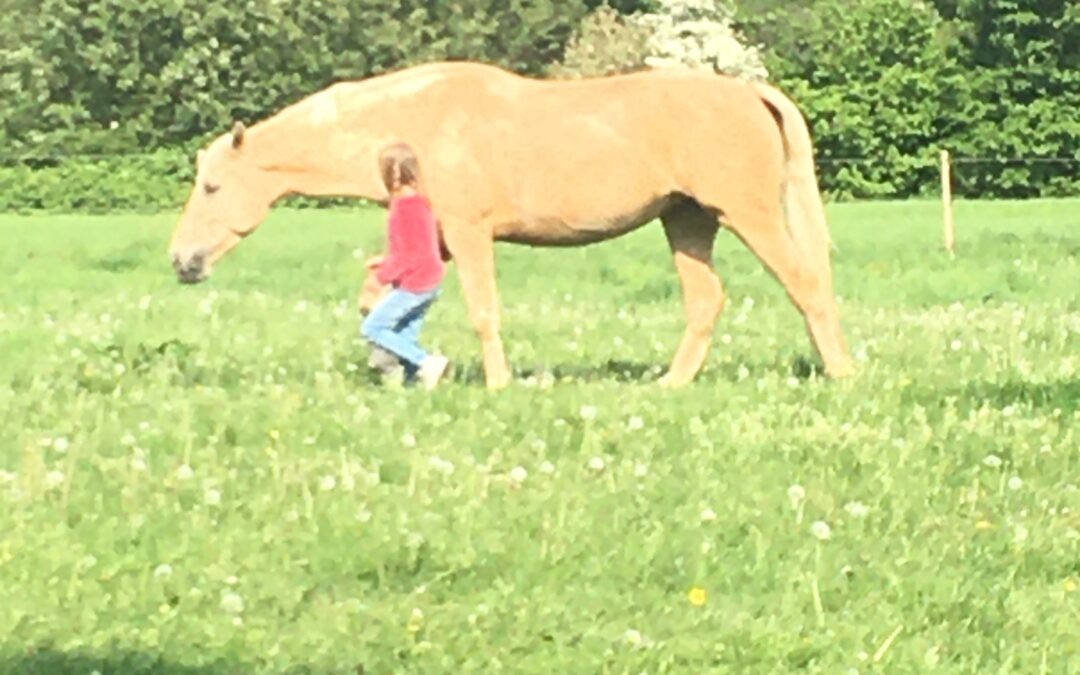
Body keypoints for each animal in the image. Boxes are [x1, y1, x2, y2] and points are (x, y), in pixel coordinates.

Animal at [170, 63, 851, 393]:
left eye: (213, 186)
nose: (181, 261)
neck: (417, 119)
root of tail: (751, 93)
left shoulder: (469, 234)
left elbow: (482, 312)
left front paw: (495, 385)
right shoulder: (439, 240)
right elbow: (377, 297)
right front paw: (394, 365)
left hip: (749, 216)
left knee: (807, 284)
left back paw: (842, 374)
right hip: (686, 220)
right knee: (706, 301)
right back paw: (670, 383)